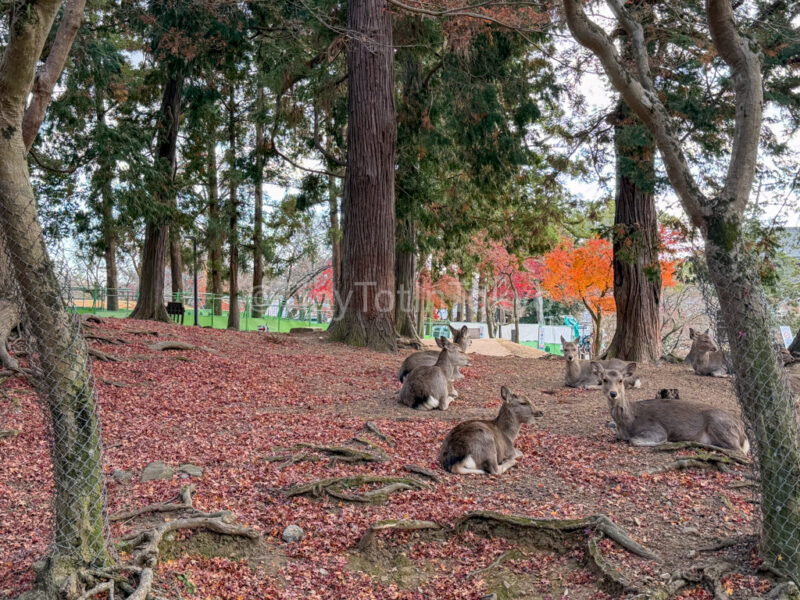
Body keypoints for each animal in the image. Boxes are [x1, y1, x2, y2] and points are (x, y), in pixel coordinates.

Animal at [593, 362, 749, 454]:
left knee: (738, 451)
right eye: (604, 379)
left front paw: (666, 442)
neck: (628, 421)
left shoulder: (656, 429)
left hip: (720, 425)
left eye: (620, 380)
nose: (613, 393)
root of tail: (743, 434)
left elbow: (634, 440)